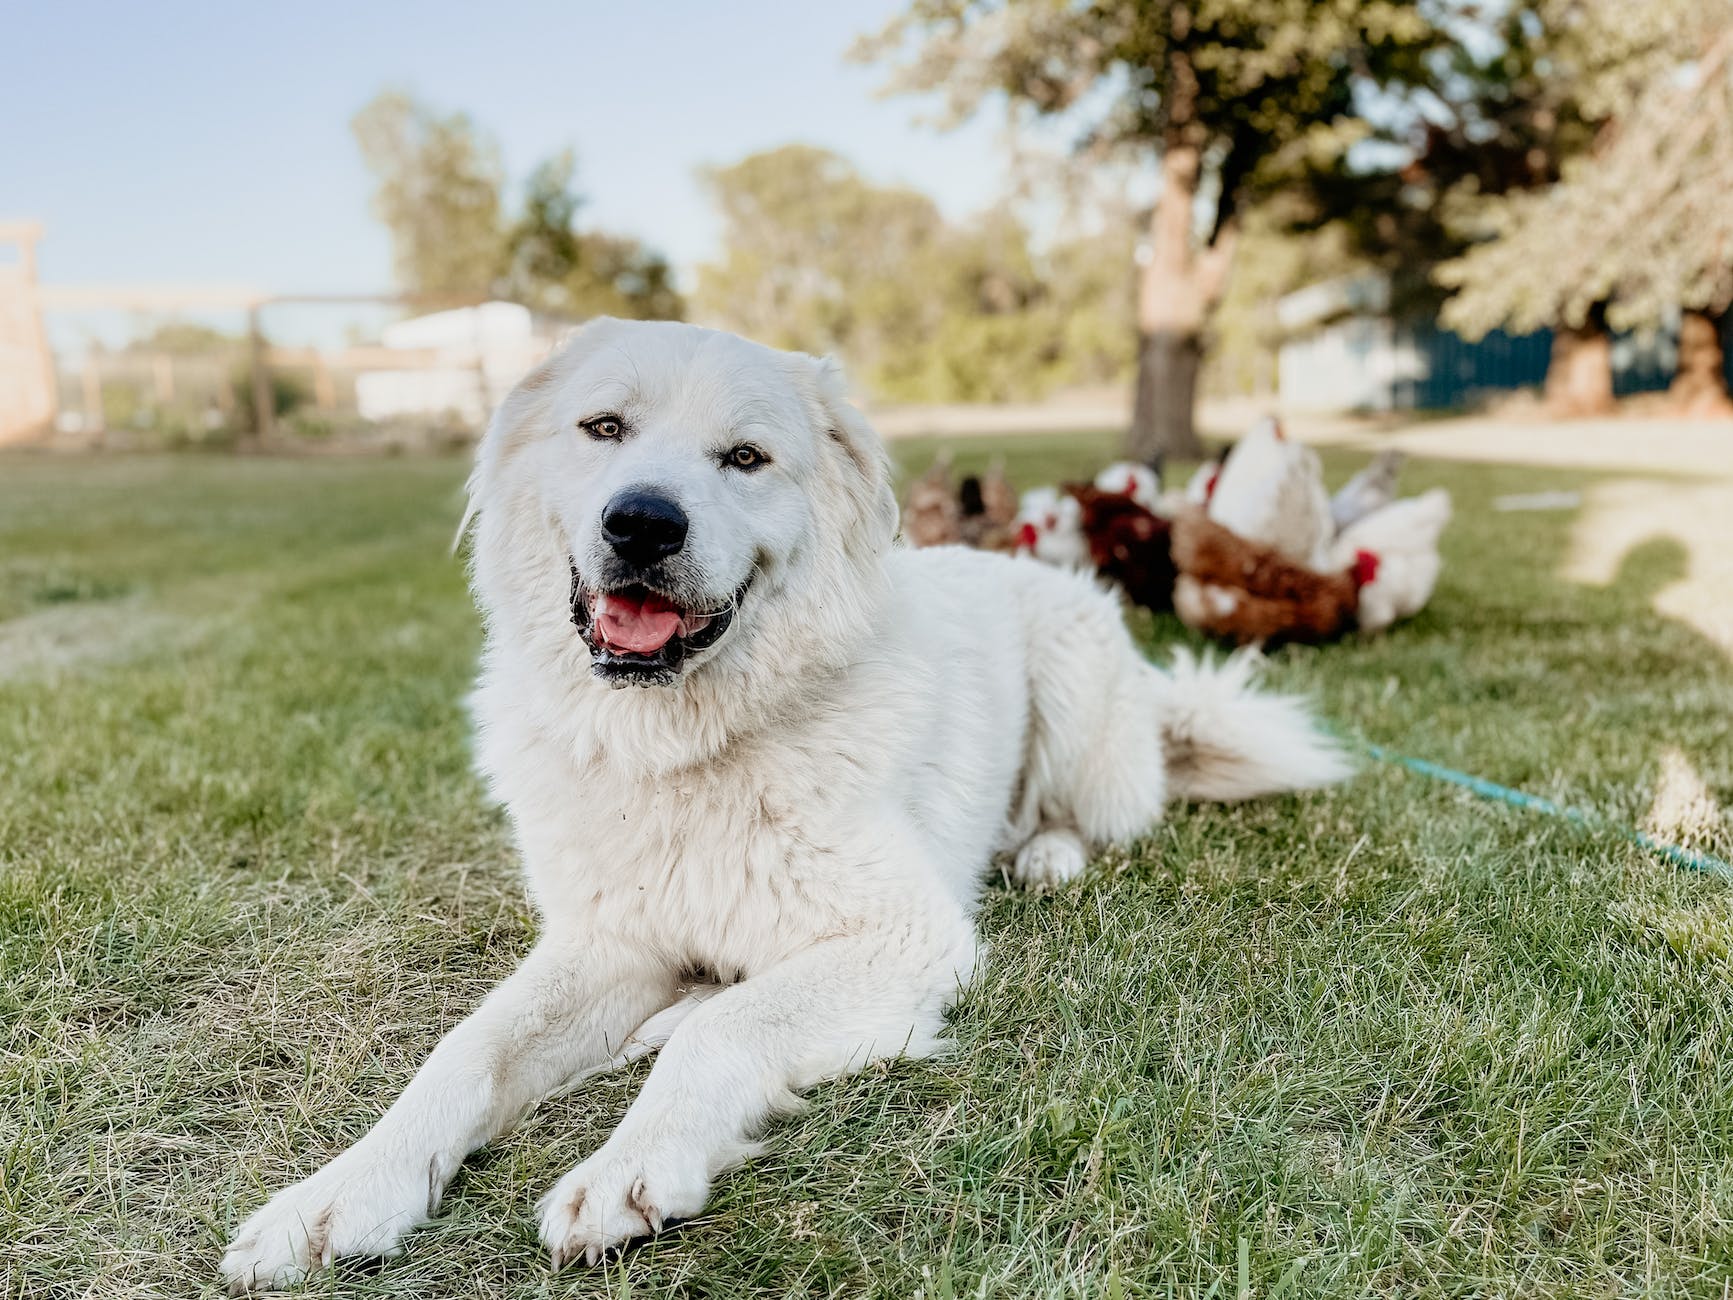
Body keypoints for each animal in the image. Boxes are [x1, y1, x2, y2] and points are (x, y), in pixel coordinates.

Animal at [220, 318, 1351, 1296]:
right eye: (603, 429)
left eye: (745, 458)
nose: (641, 522)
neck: (686, 749)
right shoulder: (603, 942)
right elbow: (462, 1053)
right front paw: (338, 1194)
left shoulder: (907, 934)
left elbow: (726, 1029)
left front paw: (631, 1165)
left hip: (1075, 692)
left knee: (1080, 820)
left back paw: (1042, 858)